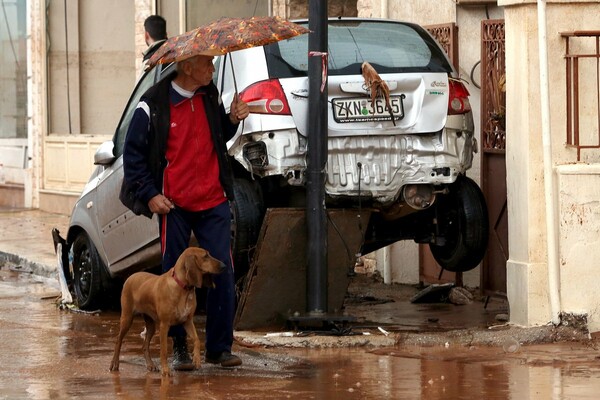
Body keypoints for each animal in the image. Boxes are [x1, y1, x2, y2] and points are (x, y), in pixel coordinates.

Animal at [108, 247, 225, 376]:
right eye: (205, 256)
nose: (224, 266)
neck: (183, 288)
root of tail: (131, 276)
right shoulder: (164, 325)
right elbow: (163, 350)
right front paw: (165, 370)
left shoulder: (188, 321)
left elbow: (197, 340)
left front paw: (197, 359)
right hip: (127, 318)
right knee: (118, 340)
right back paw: (114, 363)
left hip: (151, 326)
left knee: (144, 346)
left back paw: (151, 365)